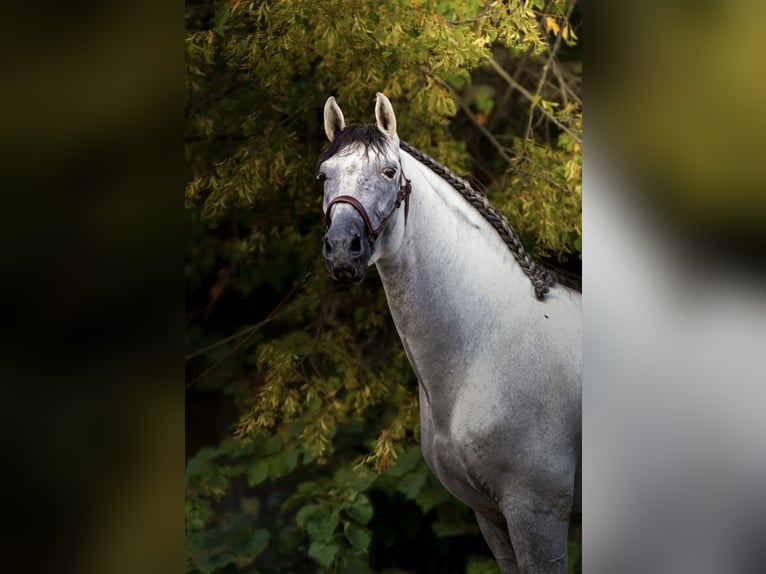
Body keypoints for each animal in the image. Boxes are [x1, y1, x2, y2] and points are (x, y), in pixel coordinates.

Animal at [317, 93, 581, 573]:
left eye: (390, 172)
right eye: (323, 175)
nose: (343, 250)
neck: (486, 350)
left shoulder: (537, 514)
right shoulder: (490, 517)